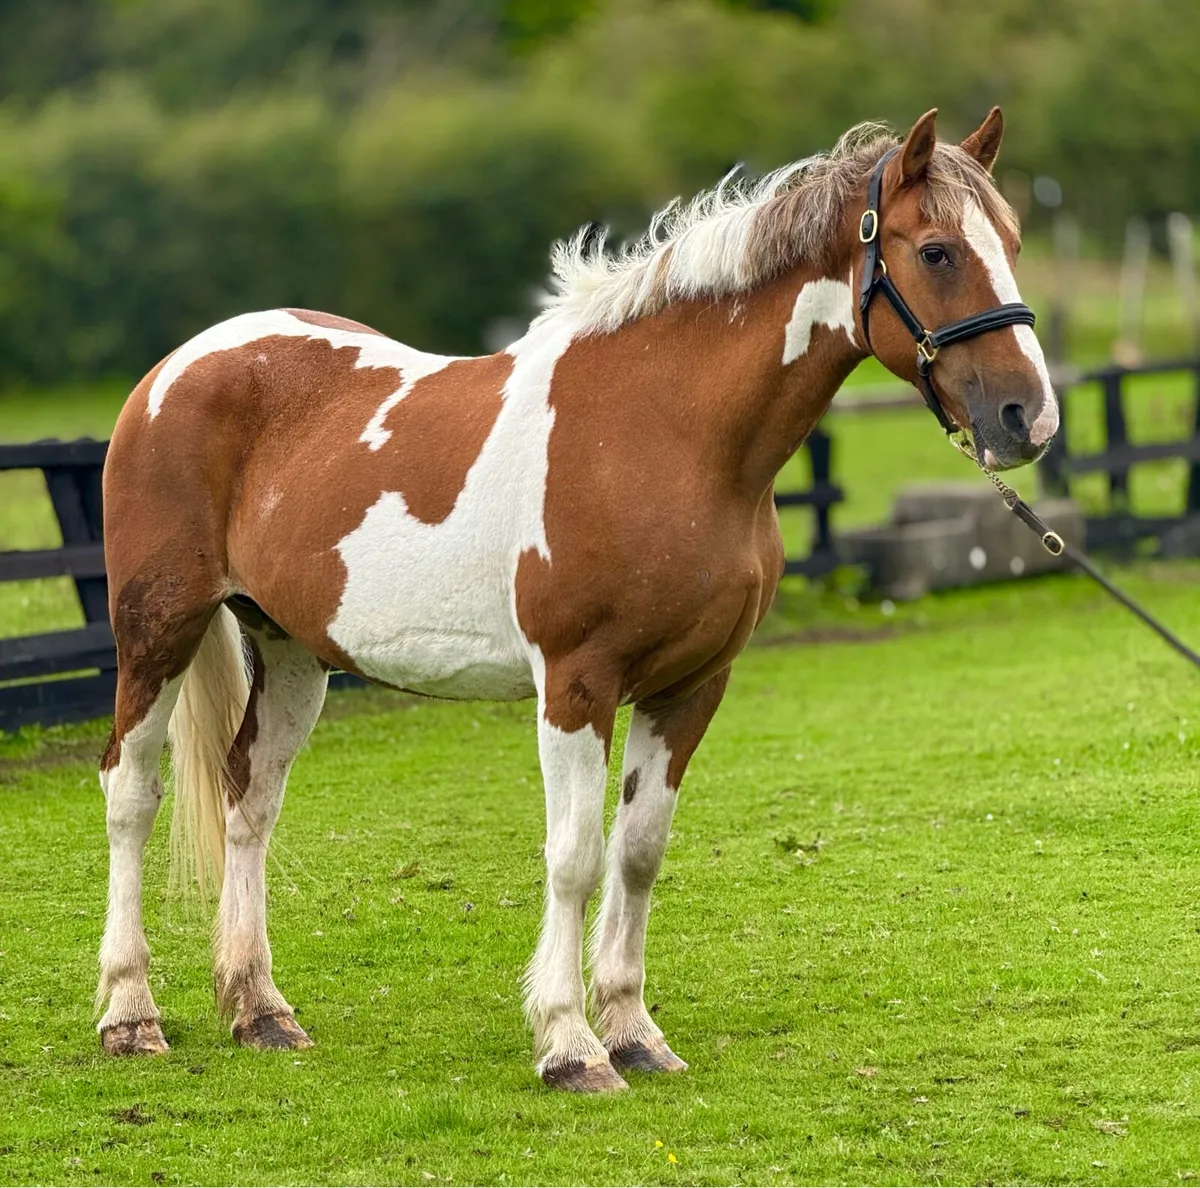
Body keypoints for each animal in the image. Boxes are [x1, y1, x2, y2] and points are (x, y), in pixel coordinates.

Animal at [95, 107, 1057, 1092]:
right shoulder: (575, 685)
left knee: (250, 801)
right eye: (937, 251)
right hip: (159, 630)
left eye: (1014, 240)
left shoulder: (690, 686)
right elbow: (575, 858)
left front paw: (633, 1030)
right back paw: (130, 1014)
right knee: (132, 792)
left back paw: (260, 1011)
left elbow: (638, 852)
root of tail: (177, 368)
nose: (1028, 418)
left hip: (292, 652)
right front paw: (569, 1044)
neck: (663, 431)